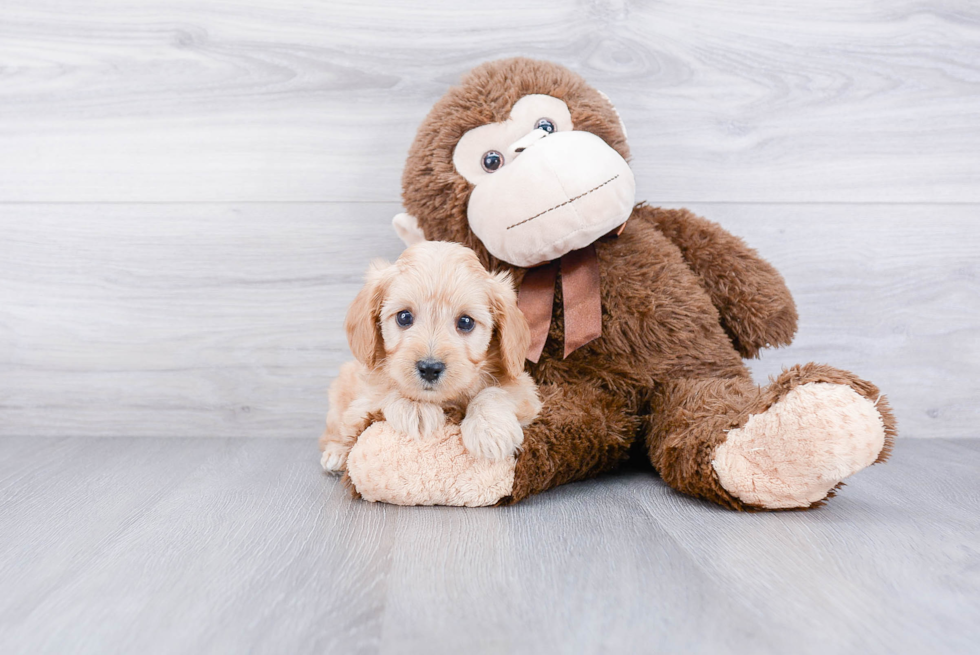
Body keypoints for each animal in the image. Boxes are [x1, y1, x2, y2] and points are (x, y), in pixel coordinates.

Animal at [318, 240, 540, 472]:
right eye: (404, 317)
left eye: (466, 322)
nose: (430, 368)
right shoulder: (364, 401)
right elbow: (386, 390)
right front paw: (417, 407)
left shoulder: (525, 390)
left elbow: (495, 392)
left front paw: (489, 429)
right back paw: (336, 453)